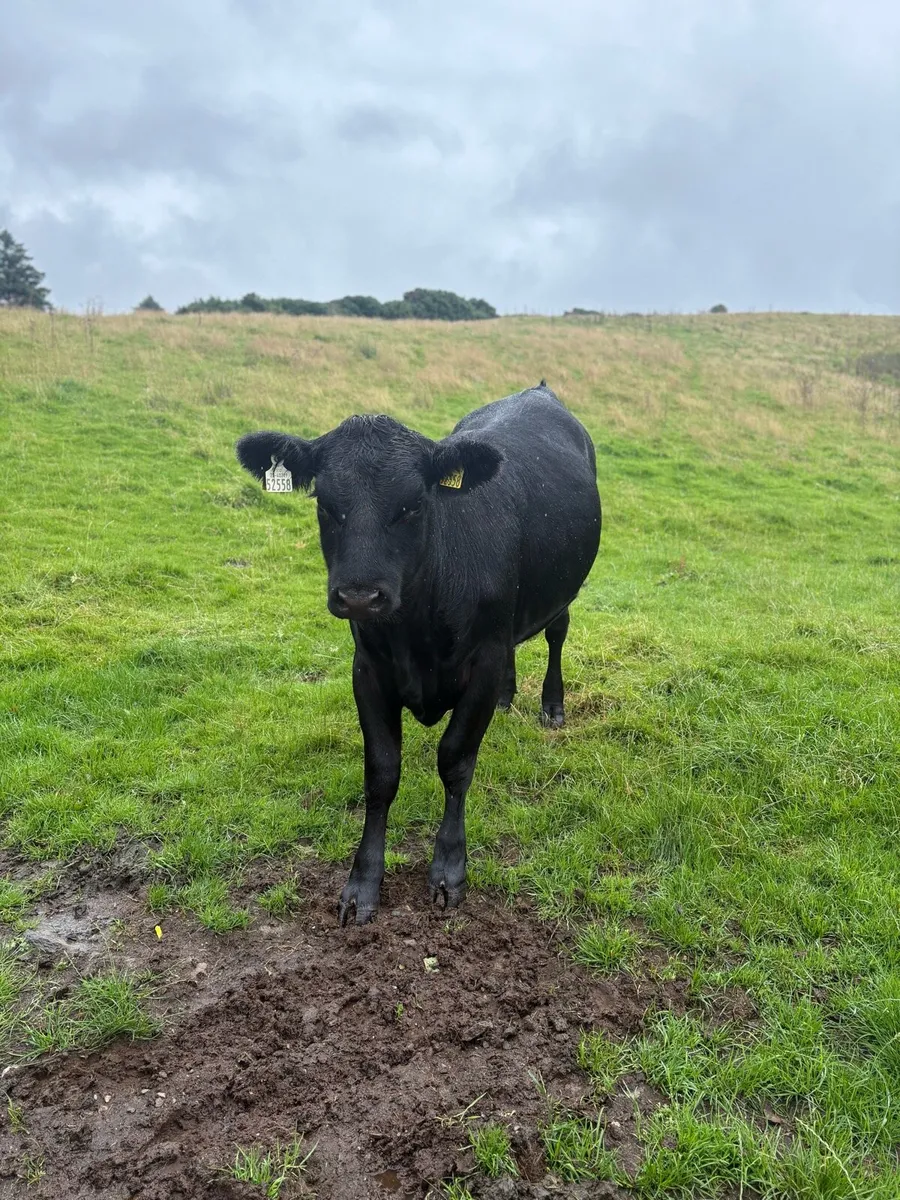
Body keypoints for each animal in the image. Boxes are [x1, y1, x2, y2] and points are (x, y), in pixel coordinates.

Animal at [236, 382, 601, 924]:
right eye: (326, 503)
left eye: (412, 505)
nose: (360, 596)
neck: (417, 631)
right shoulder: (368, 669)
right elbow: (382, 771)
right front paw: (363, 882)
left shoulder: (483, 662)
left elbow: (455, 760)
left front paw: (449, 869)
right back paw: (508, 697)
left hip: (561, 594)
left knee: (556, 633)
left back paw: (551, 706)